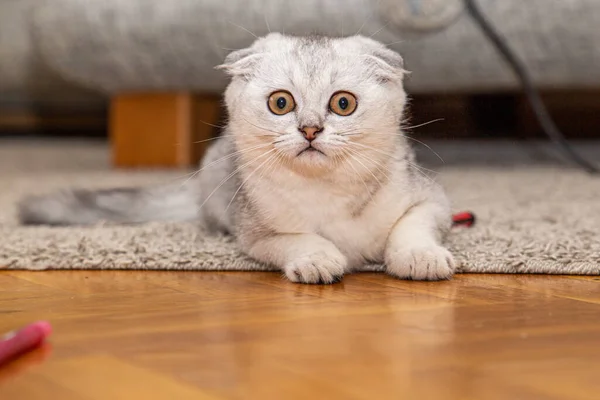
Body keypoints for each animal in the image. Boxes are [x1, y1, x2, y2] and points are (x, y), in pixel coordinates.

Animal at [19, 33, 454, 284]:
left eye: (343, 104)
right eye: (281, 103)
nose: (310, 129)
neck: (326, 190)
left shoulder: (431, 201)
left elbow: (410, 226)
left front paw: (421, 256)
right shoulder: (255, 232)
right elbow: (296, 239)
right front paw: (318, 257)